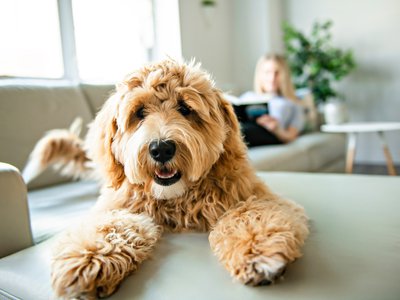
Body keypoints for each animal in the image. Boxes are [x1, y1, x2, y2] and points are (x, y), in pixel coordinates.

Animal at [25, 59, 310, 298]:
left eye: (185, 108)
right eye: (139, 112)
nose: (161, 148)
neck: (176, 199)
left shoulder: (254, 195)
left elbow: (250, 214)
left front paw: (258, 252)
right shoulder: (118, 207)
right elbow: (110, 226)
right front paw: (88, 261)